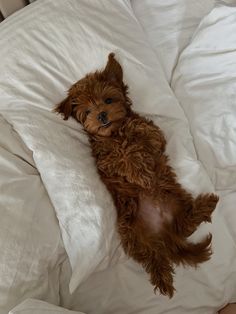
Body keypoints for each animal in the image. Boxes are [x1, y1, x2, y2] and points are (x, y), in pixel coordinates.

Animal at [54, 52, 218, 296]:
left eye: (108, 101)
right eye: (88, 112)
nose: (101, 115)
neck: (115, 133)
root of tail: (164, 232)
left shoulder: (155, 135)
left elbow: (142, 134)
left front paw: (137, 147)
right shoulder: (107, 162)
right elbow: (123, 156)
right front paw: (138, 171)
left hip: (177, 199)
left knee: (187, 222)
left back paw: (206, 204)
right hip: (132, 234)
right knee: (153, 257)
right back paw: (163, 280)